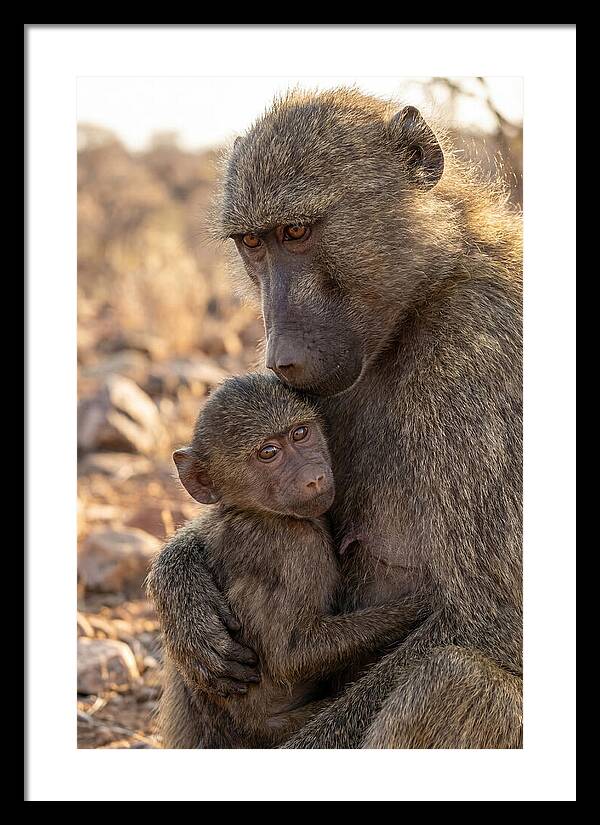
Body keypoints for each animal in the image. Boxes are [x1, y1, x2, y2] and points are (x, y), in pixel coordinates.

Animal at [146, 372, 426, 748]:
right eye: (268, 453)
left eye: (300, 433)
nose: (315, 477)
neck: (255, 511)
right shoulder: (296, 548)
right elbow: (291, 655)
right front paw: (421, 606)